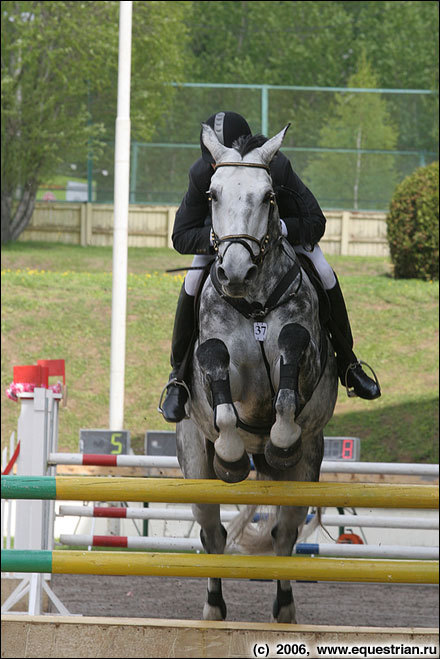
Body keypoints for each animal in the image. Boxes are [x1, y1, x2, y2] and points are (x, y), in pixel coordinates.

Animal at [175, 125, 336, 624]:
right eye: (211, 193)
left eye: (269, 196)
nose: (234, 271)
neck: (256, 303)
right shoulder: (219, 369)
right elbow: (217, 375)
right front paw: (230, 453)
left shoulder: (302, 360)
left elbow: (290, 362)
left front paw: (280, 436)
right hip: (193, 461)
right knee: (213, 536)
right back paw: (213, 610)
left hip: (307, 466)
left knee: (285, 536)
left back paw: (285, 609)